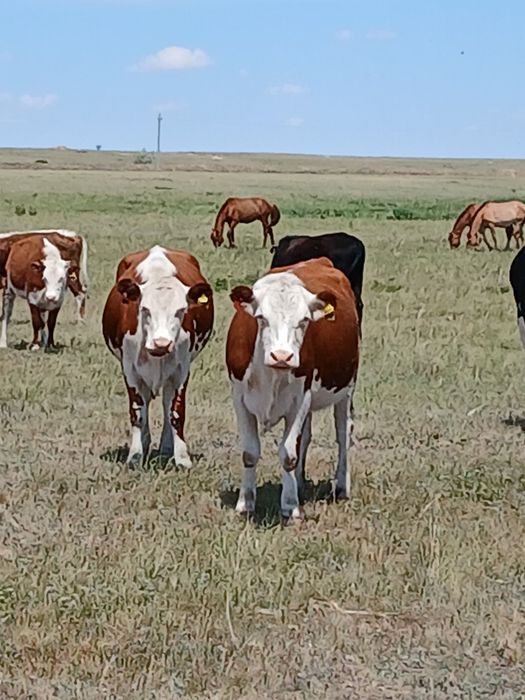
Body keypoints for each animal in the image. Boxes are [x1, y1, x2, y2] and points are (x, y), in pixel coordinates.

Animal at [102, 245, 214, 467]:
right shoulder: (130, 370)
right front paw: (135, 456)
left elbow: (176, 412)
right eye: (144, 309)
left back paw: (167, 447)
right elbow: (138, 412)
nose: (161, 343)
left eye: (181, 310)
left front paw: (182, 458)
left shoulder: (181, 371)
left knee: (167, 404)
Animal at [226, 257, 360, 520]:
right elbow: (250, 452)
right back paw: (298, 483)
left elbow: (288, 454)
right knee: (304, 438)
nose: (282, 356)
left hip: (346, 388)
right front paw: (245, 503)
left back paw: (341, 487)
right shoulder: (240, 399)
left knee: (343, 435)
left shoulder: (301, 399)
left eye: (304, 321)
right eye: (261, 318)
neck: (270, 374)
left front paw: (290, 506)